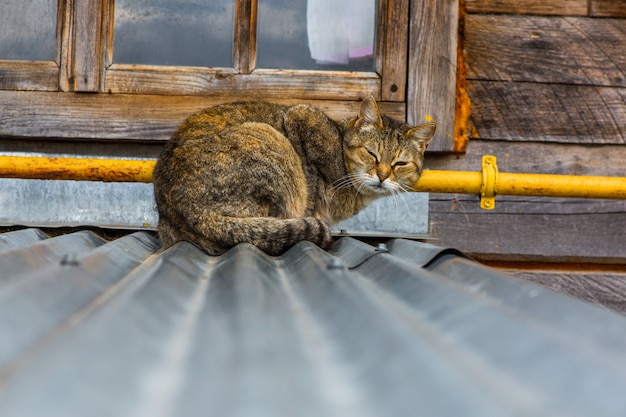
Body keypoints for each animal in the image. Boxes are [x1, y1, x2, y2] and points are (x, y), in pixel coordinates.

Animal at [152, 96, 434, 255]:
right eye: (371, 153)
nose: (383, 176)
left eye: (400, 163)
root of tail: (190, 209)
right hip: (273, 145)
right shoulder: (302, 117)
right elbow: (311, 183)